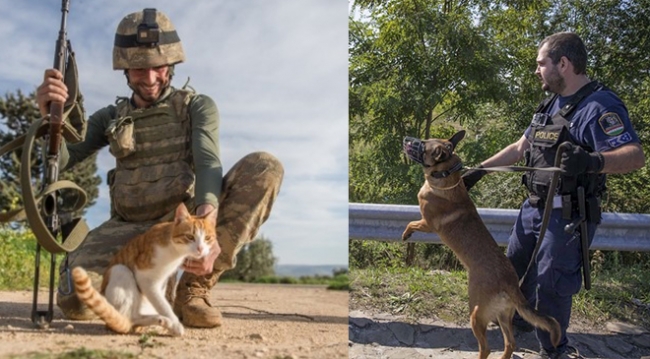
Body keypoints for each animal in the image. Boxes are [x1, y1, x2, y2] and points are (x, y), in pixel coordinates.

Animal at [71, 204, 215, 336]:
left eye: (207, 238)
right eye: (190, 237)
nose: (200, 249)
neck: (174, 251)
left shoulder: (162, 281)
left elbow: (160, 300)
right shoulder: (145, 279)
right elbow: (163, 304)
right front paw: (175, 325)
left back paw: (159, 322)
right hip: (120, 269)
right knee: (130, 319)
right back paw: (163, 321)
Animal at [400, 131, 556, 359]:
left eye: (422, 144)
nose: (406, 139)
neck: (446, 177)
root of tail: (510, 283)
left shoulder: (427, 223)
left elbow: (411, 223)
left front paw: (406, 234)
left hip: (476, 313)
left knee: (486, 347)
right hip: (503, 316)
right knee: (510, 343)